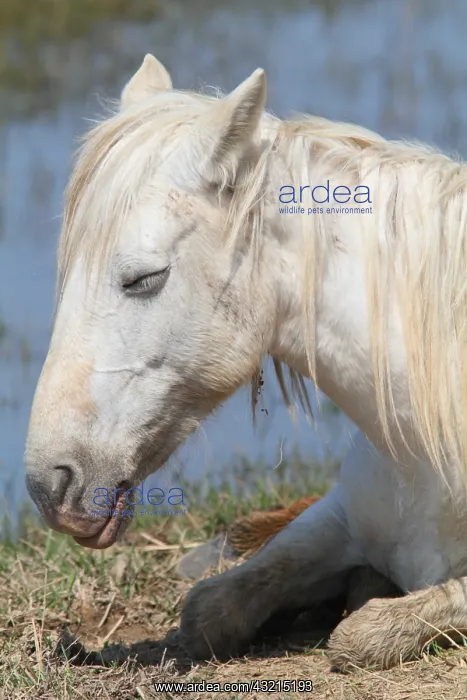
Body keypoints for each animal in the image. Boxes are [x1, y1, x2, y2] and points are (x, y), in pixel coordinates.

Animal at [24, 54, 467, 670]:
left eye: (145, 278)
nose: (49, 485)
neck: (421, 456)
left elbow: (364, 633)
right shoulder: (336, 515)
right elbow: (212, 606)